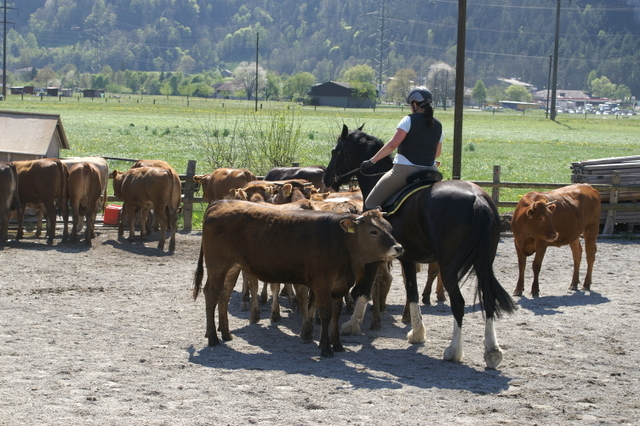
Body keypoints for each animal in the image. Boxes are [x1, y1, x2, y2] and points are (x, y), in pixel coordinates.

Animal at [192, 200, 403, 357]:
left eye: (390, 227)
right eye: (373, 231)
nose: (399, 247)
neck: (339, 240)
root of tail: (221, 203)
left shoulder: (339, 286)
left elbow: (335, 315)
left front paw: (337, 344)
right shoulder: (321, 285)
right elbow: (325, 314)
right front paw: (325, 348)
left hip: (232, 267)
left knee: (224, 295)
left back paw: (226, 333)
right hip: (217, 265)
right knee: (211, 294)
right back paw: (213, 338)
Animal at [324, 125, 517, 369]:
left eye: (335, 151)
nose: (327, 178)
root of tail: (477, 198)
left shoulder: (376, 256)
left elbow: (366, 289)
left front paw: (351, 325)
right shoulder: (408, 258)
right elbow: (413, 293)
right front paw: (417, 333)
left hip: (450, 266)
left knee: (459, 302)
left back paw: (453, 351)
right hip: (483, 264)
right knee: (488, 299)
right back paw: (492, 352)